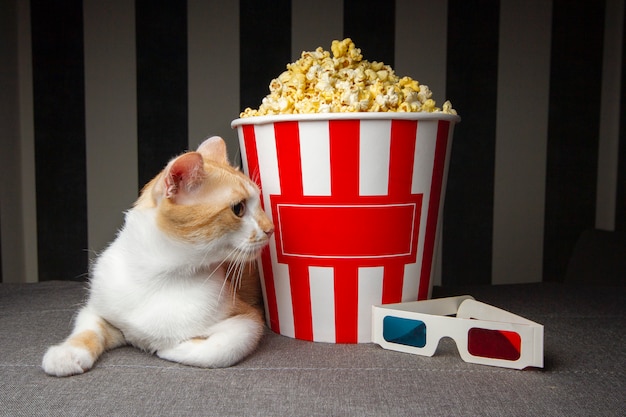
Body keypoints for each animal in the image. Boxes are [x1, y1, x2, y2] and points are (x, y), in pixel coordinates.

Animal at [41, 136, 270, 376]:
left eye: (259, 205)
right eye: (238, 208)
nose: (270, 228)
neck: (156, 276)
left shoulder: (247, 319)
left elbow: (220, 349)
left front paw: (167, 347)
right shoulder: (97, 309)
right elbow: (87, 328)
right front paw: (68, 353)